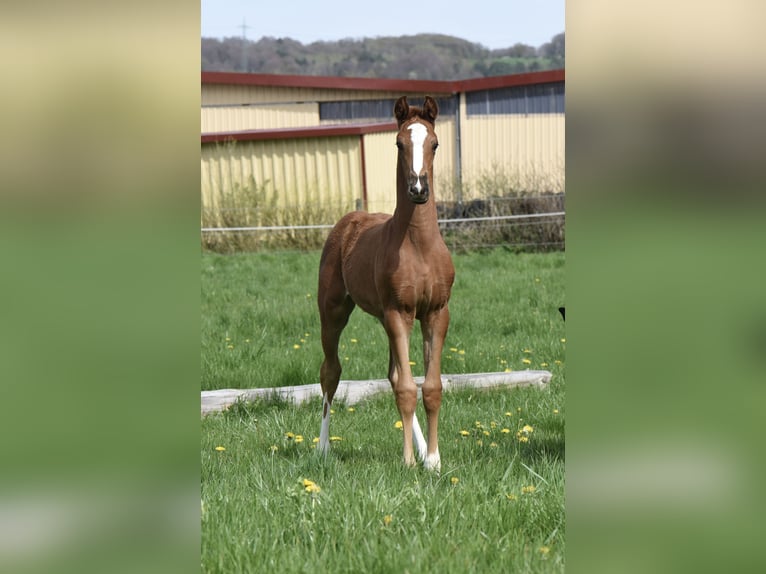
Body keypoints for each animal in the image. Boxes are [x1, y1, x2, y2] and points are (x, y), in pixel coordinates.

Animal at [316, 95, 455, 471]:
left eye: (434, 143)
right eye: (399, 143)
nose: (418, 189)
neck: (419, 245)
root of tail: (349, 220)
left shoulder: (436, 313)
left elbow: (430, 386)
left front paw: (432, 460)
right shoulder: (399, 311)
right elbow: (407, 388)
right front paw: (408, 462)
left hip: (385, 317)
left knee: (394, 375)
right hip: (334, 312)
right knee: (330, 371)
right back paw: (322, 449)